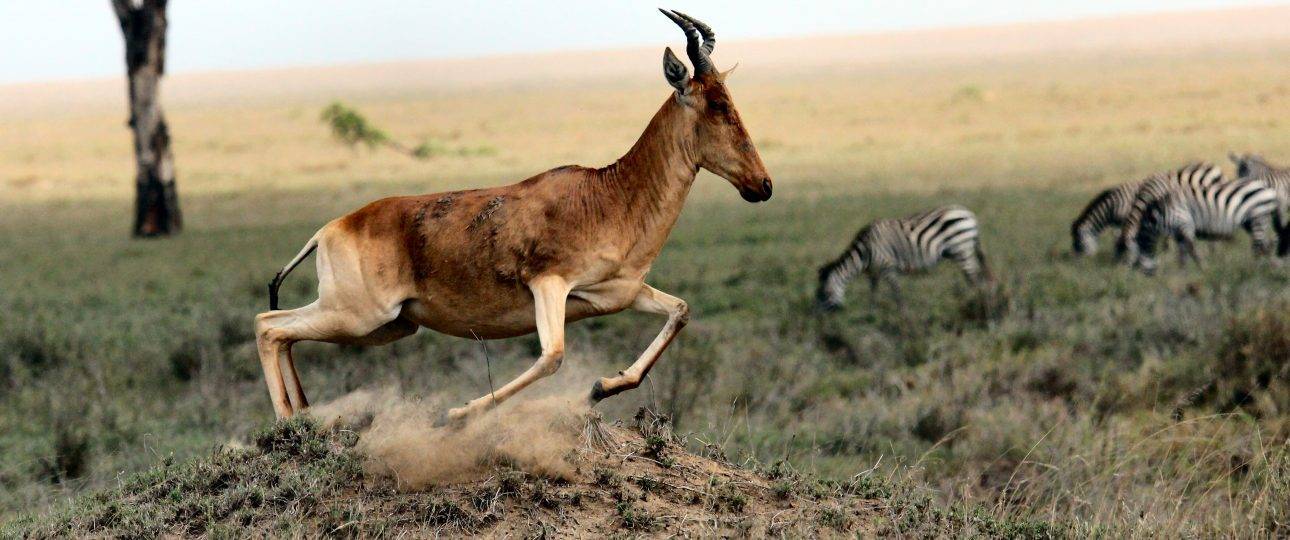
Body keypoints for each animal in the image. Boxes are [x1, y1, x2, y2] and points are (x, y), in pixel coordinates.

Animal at [815, 204, 985, 310]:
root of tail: (969, 213)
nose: (818, 317)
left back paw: (974, 302)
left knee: (974, 277)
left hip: (962, 248)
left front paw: (903, 315)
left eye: (824, 293)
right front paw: (871, 313)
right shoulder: (874, 272)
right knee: (973, 275)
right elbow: (873, 293)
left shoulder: (887, 266)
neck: (864, 253)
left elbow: (896, 293)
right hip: (961, 250)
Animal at [1130, 179, 1279, 274]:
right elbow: (1182, 255)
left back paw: (1253, 269)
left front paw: (1203, 269)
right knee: (1265, 245)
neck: (1163, 214)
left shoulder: (1185, 224)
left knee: (1258, 246)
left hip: (1258, 217)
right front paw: (1181, 274)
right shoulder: (1178, 233)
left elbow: (1192, 250)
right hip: (1251, 222)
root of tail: (1268, 188)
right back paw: (1271, 267)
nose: (1148, 275)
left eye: (1139, 251)